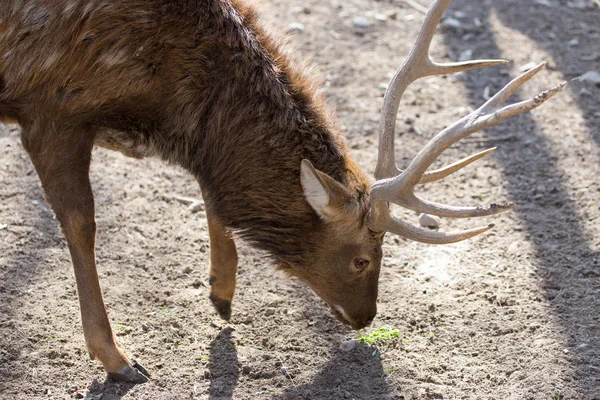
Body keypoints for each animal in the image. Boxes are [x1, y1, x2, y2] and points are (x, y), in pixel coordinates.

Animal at [0, 0, 564, 382]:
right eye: (363, 258)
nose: (366, 317)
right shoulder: (52, 110)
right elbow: (82, 224)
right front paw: (118, 358)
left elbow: (213, 191)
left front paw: (222, 293)